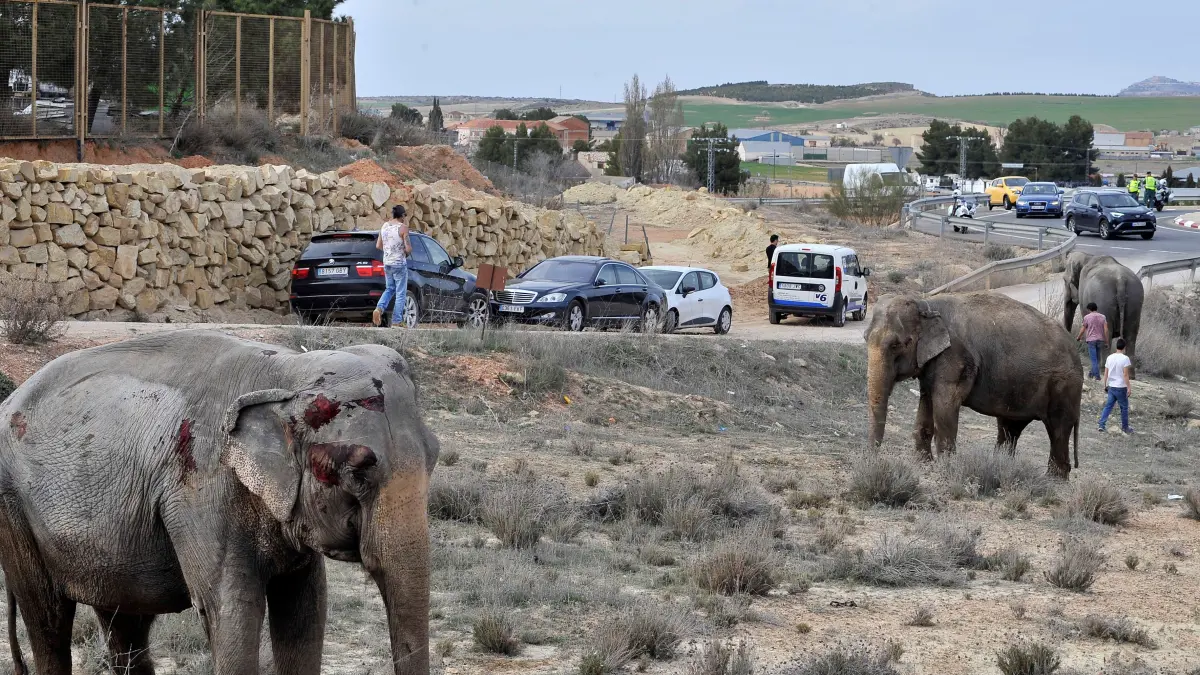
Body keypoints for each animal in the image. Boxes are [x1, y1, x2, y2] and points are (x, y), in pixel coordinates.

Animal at [0, 330, 437, 675]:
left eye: (434, 456)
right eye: (357, 472)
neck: (286, 372)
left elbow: (305, 606)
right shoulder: (201, 490)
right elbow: (231, 610)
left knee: (125, 623)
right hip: (13, 510)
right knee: (49, 618)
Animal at [865, 293, 1082, 478]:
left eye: (896, 345)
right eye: (866, 338)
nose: (875, 461)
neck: (926, 304)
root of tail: (1076, 350)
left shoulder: (955, 359)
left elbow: (945, 405)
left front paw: (946, 469)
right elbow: (926, 402)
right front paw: (922, 465)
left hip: (1064, 386)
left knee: (1058, 428)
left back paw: (1054, 479)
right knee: (1010, 427)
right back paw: (1002, 467)